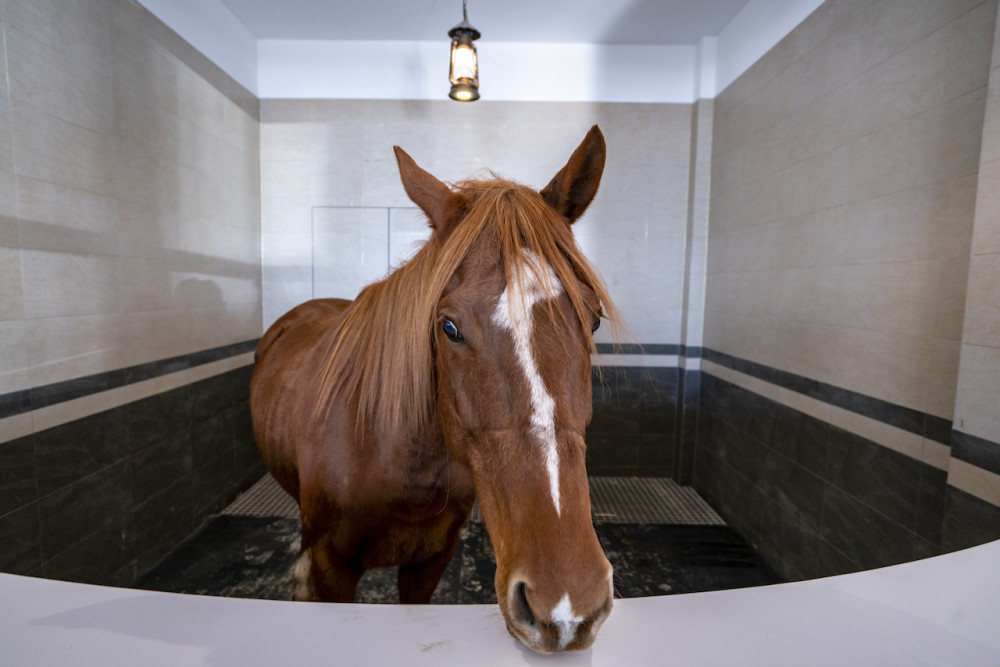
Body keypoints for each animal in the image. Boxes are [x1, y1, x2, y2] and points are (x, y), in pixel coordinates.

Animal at [250, 126, 623, 654]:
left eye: (592, 320)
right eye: (448, 327)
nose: (567, 604)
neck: (392, 452)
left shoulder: (430, 561)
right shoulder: (331, 569)